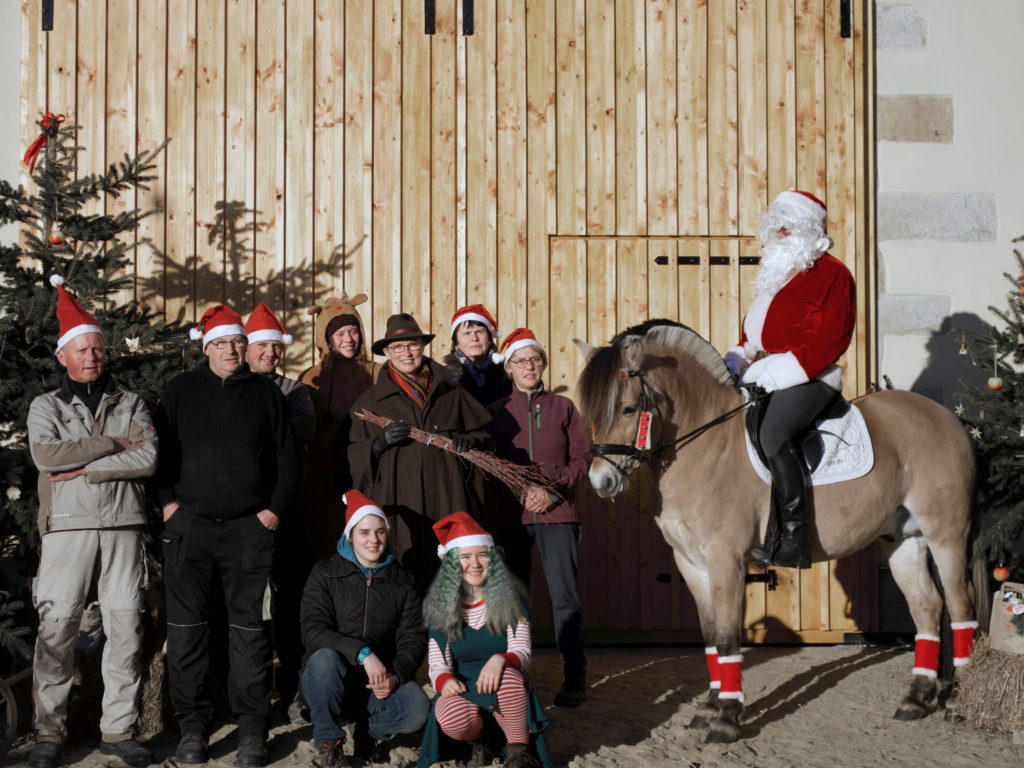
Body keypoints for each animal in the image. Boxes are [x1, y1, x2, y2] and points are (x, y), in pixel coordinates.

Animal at [577, 319, 983, 745]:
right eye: (590, 411)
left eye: (627, 408)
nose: (602, 482)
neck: (705, 445)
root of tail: (949, 418)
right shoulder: (691, 563)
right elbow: (710, 635)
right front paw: (708, 707)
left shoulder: (725, 560)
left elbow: (728, 636)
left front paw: (727, 717)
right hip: (904, 539)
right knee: (927, 607)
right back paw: (916, 700)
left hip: (946, 534)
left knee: (960, 606)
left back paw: (959, 700)